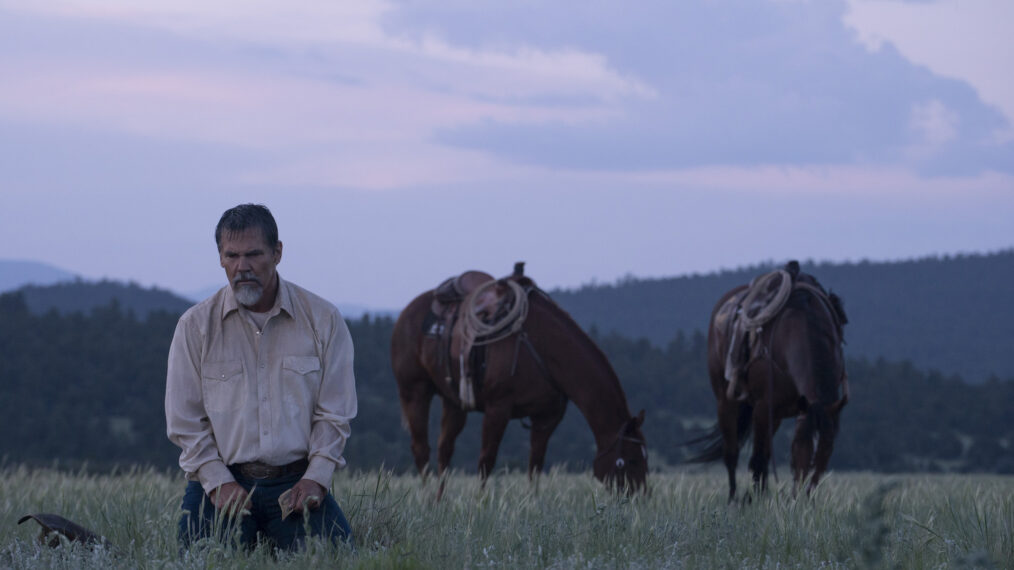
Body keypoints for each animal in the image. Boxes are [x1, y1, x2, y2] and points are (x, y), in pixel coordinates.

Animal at [389, 265, 648, 492]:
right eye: (631, 459)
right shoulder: (497, 408)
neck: (542, 346)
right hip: (415, 391)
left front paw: (533, 504)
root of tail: (406, 312)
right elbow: (486, 461)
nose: (639, 496)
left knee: (445, 449)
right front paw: (481, 504)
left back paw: (440, 501)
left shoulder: (547, 417)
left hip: (453, 401)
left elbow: (535, 465)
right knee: (421, 449)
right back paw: (426, 499)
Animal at [689, 259, 847, 499]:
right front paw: (755, 500)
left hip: (777, 414)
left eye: (826, 455)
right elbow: (757, 460)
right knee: (732, 453)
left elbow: (764, 458)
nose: (803, 498)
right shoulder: (764, 407)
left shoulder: (799, 410)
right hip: (726, 401)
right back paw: (733, 498)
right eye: (805, 455)